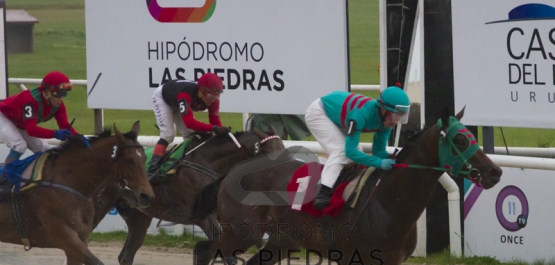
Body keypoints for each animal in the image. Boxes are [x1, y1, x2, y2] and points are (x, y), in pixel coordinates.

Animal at [0, 120, 154, 264]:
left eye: (144, 158)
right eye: (129, 160)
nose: (146, 196)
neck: (67, 182)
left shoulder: (80, 238)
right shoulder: (64, 236)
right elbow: (96, 261)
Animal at [89, 128, 284, 264]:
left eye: (283, 149)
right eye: (270, 153)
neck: (210, 164)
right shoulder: (204, 217)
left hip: (138, 215)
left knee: (126, 256)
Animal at [191, 108, 504, 264]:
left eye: (471, 135)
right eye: (461, 139)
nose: (495, 172)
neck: (388, 203)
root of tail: (229, 174)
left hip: (282, 240)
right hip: (241, 233)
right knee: (204, 250)